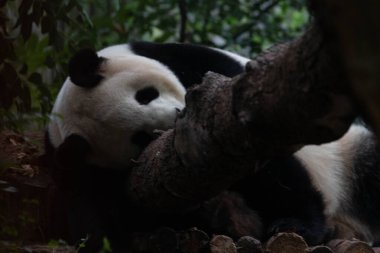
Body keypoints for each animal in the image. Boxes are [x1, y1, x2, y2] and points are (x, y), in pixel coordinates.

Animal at [46, 41, 378, 251]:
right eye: (140, 137)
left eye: (145, 95)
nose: (177, 117)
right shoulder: (88, 176)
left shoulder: (202, 68)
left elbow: (267, 158)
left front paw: (295, 225)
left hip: (347, 154)